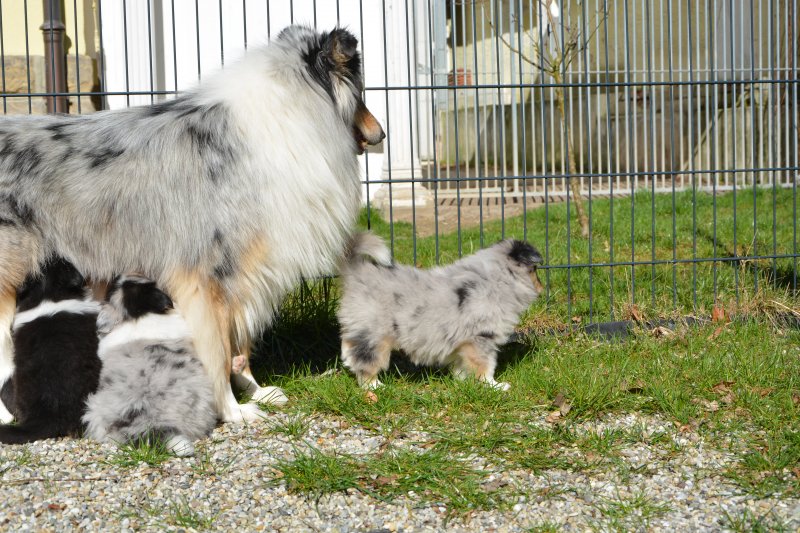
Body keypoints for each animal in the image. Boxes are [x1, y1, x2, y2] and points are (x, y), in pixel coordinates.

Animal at [0, 25, 384, 423]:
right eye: (360, 90)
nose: (381, 134)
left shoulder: (244, 275)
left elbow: (238, 343)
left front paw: (257, 391)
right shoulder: (204, 278)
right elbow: (216, 349)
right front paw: (232, 411)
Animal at [337, 233, 544, 390]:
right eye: (536, 270)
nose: (542, 289)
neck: (497, 279)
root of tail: (359, 271)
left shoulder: (463, 342)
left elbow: (462, 364)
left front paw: (462, 381)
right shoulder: (481, 338)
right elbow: (486, 366)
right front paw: (494, 386)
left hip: (360, 325)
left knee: (349, 343)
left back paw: (347, 359)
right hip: (376, 336)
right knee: (366, 360)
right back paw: (375, 386)